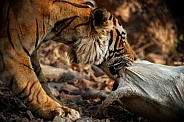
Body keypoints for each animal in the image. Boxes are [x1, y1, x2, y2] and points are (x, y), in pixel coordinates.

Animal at [0, 0, 135, 120]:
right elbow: (32, 86)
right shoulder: (15, 53)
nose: (135, 58)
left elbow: (42, 81)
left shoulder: (32, 54)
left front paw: (63, 105)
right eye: (123, 39)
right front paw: (59, 111)